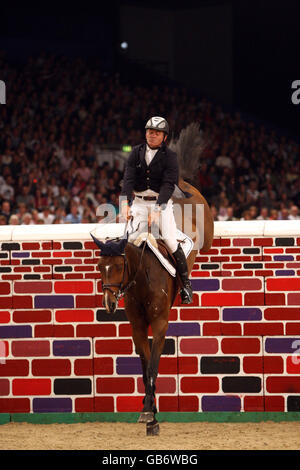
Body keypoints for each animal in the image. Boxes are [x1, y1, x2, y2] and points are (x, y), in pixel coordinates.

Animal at [92, 179, 213, 434]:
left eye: (119, 266)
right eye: (100, 266)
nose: (109, 303)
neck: (141, 279)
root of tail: (182, 185)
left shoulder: (159, 324)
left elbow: (153, 366)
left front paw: (150, 414)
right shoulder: (137, 326)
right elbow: (144, 364)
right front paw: (149, 408)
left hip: (205, 231)